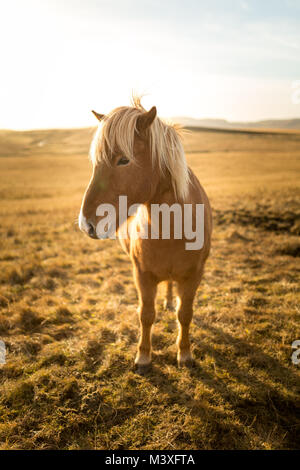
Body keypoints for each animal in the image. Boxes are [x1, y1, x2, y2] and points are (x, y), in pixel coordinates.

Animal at [78, 97, 212, 372]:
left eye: (123, 160)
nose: (86, 225)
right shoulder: (141, 275)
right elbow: (146, 315)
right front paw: (143, 357)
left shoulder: (194, 275)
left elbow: (185, 314)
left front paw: (185, 354)